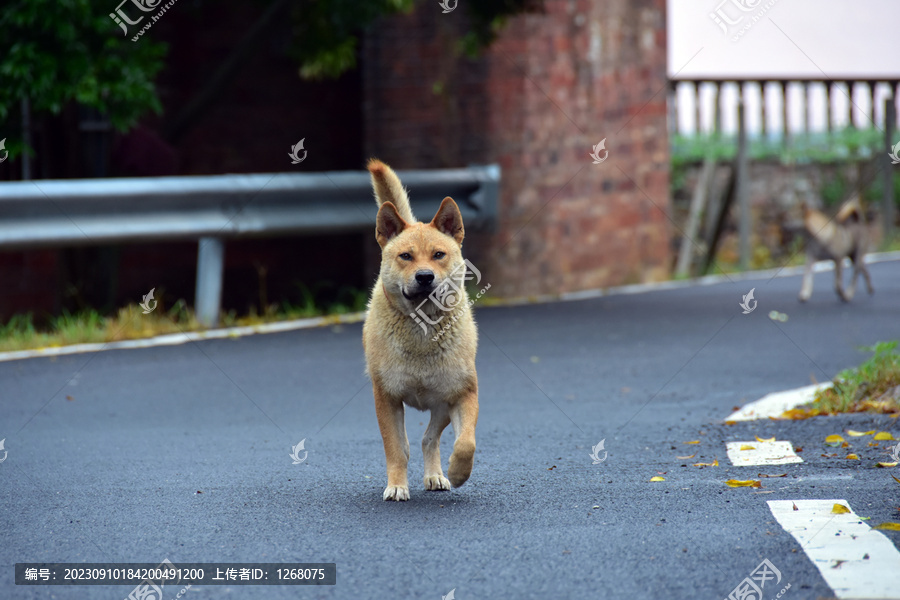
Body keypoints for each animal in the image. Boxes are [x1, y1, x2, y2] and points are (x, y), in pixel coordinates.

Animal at [362, 157, 482, 500]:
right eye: (406, 256)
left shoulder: (464, 394)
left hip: (441, 405)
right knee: (409, 443)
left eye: (439, 254)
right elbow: (395, 448)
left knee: (430, 438)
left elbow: (466, 442)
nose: (425, 276)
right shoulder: (386, 397)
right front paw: (397, 485)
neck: (423, 329)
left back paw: (436, 475)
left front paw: (458, 472)